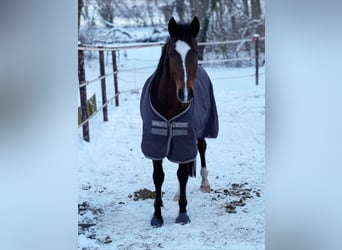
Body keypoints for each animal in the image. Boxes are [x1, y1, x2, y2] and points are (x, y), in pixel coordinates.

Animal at [141, 16, 219, 227]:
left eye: (195, 51)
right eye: (171, 54)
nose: (185, 94)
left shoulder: (185, 137)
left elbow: (182, 175)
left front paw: (182, 213)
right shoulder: (156, 141)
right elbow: (158, 177)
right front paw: (157, 215)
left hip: (200, 129)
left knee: (202, 149)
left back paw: (205, 183)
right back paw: (175, 195)